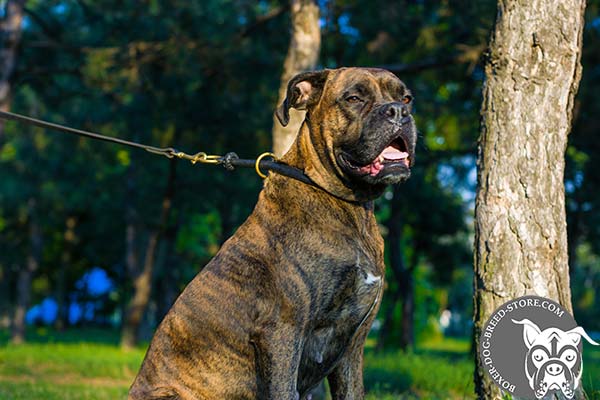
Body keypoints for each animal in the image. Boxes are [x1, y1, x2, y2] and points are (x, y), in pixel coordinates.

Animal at [128, 67, 414, 398]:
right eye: (354, 98)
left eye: (406, 98)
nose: (398, 111)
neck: (348, 205)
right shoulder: (281, 334)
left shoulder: (352, 347)